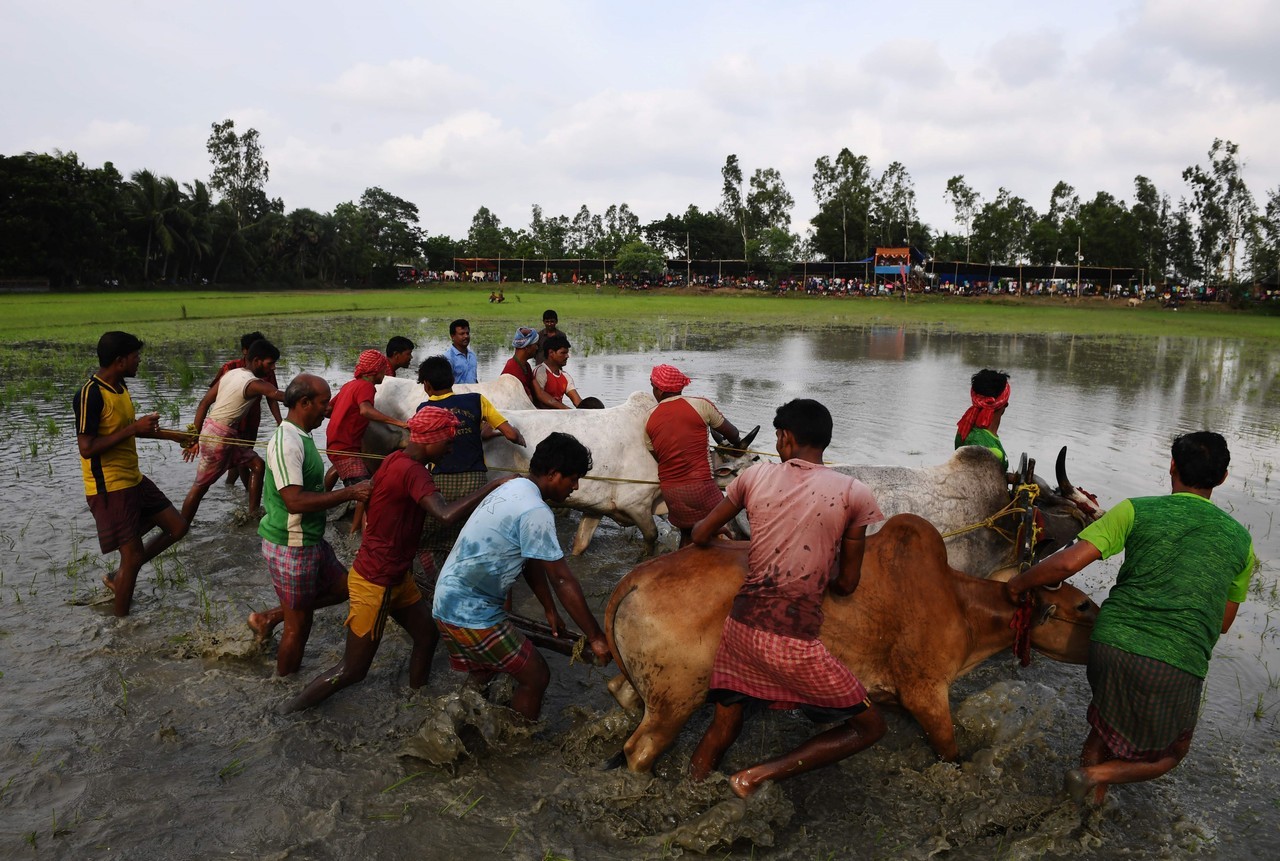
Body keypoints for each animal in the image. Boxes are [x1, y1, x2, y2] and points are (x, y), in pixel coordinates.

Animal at [604, 514, 1095, 767]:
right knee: (639, 750)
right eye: (1083, 606)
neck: (963, 606)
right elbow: (951, 752)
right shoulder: (927, 693)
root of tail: (635, 578)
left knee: (621, 694)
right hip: (676, 699)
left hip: (653, 688)